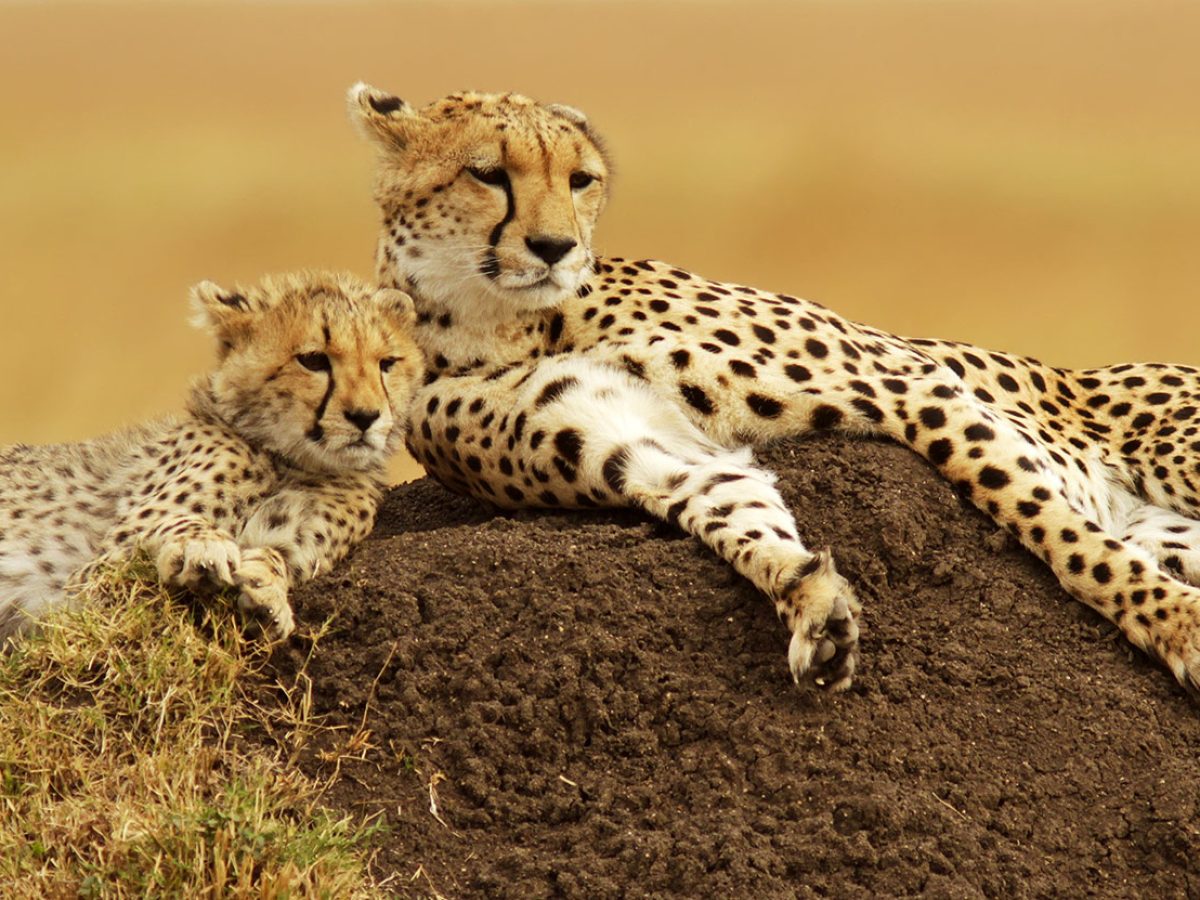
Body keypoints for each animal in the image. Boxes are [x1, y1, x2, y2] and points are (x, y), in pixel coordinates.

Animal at [0, 270, 422, 640]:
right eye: (314, 360)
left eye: (387, 363)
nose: (366, 417)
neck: (291, 460)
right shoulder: (89, 581)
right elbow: (176, 524)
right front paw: (200, 547)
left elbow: (276, 556)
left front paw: (268, 591)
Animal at [348, 82, 1200, 693]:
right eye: (488, 174)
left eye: (580, 180)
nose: (556, 246)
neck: (499, 322)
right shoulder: (650, 450)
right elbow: (737, 514)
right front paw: (814, 607)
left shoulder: (908, 383)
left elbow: (1051, 523)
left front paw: (1176, 626)